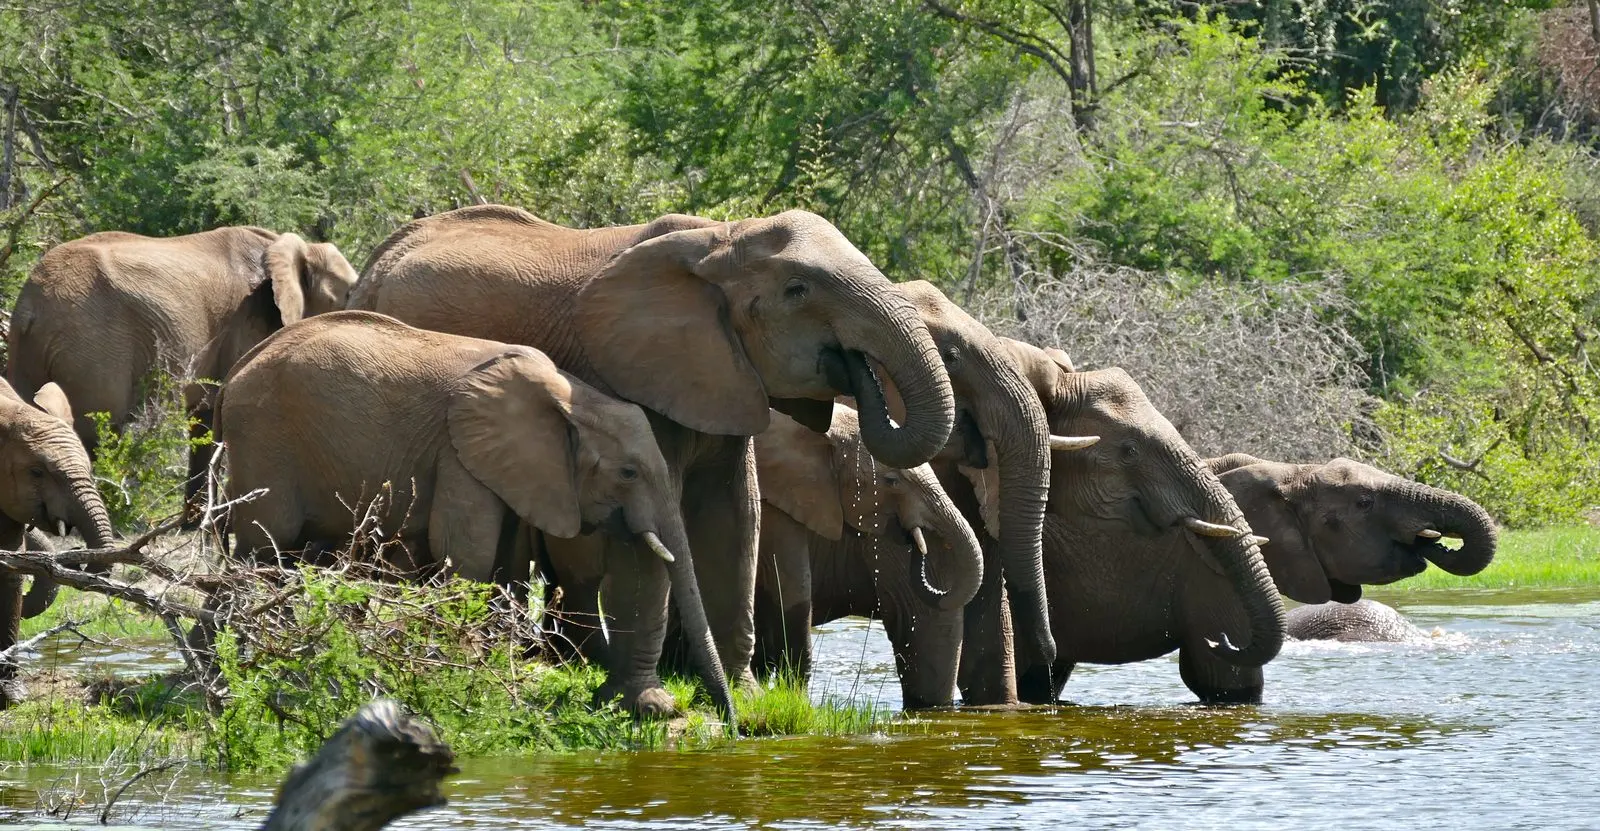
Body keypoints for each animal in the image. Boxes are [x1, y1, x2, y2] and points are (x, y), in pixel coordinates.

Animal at [6, 226, 359, 522]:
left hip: (29, 351)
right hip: (92, 346)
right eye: (347, 295)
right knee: (97, 427)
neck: (292, 247)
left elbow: (206, 414)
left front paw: (195, 522)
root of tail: (29, 306)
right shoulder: (249, 320)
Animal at [215, 311, 732, 717]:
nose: (730, 721)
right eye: (627, 472)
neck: (571, 397)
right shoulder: (459, 454)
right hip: (265, 440)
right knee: (261, 553)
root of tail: (233, 375)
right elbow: (468, 555)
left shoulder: (505, 467)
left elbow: (503, 562)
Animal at [349, 205, 955, 714]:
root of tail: (373, 266)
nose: (856, 367)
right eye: (797, 290)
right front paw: (652, 704)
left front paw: (747, 700)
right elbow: (655, 523)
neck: (724, 237)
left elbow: (735, 514)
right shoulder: (634, 372)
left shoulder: (724, 374)